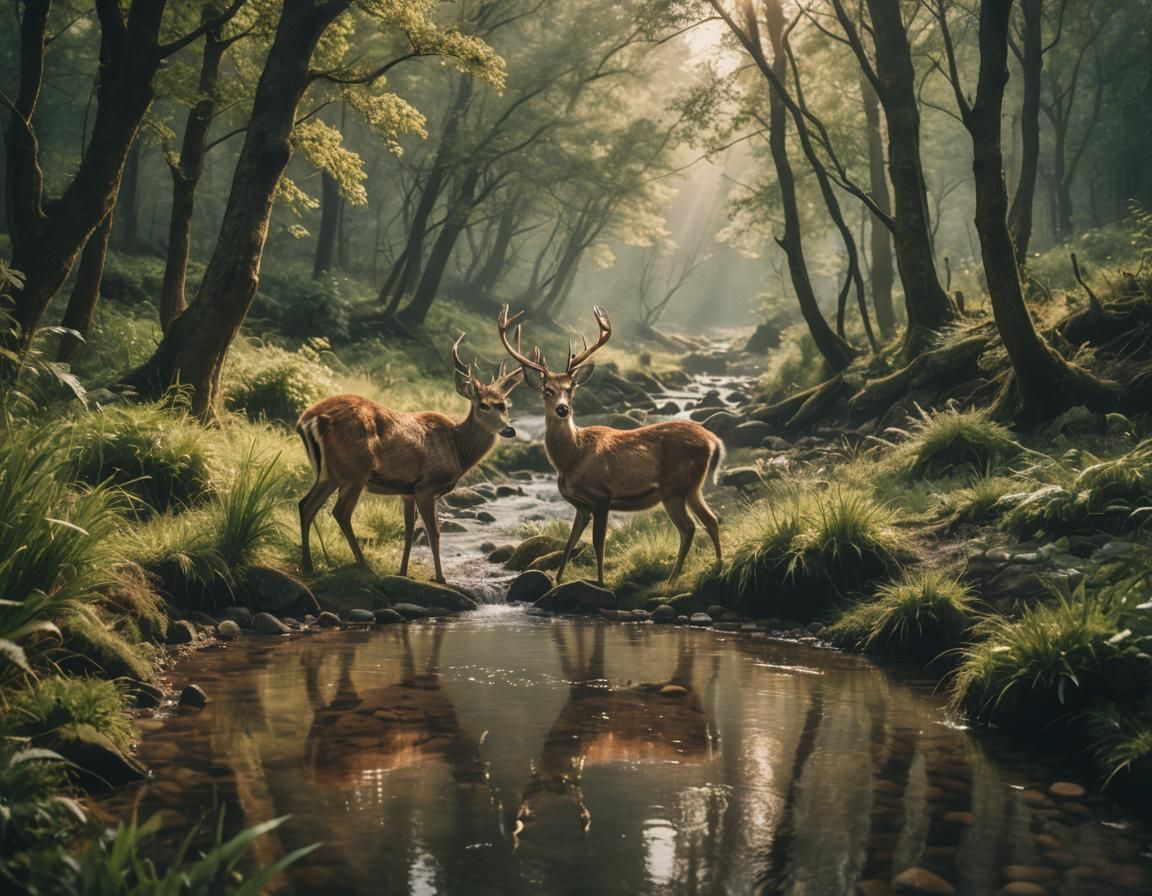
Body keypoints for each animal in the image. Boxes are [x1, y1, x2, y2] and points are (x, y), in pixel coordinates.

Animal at [296, 334, 523, 582]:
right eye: (484, 405)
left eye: (505, 405)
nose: (509, 429)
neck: (457, 450)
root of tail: (308, 421)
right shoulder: (427, 485)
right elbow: (434, 533)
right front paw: (440, 577)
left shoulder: (407, 491)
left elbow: (409, 532)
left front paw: (402, 572)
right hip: (355, 471)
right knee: (340, 512)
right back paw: (363, 564)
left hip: (329, 474)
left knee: (305, 505)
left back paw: (308, 566)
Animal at [496, 304, 723, 586]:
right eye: (547, 390)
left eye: (571, 388)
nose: (562, 409)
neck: (571, 459)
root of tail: (712, 440)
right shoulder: (581, 505)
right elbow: (569, 542)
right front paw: (558, 579)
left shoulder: (601, 496)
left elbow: (598, 543)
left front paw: (601, 582)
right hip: (691, 487)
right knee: (711, 521)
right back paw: (717, 566)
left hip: (675, 487)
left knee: (689, 527)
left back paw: (673, 579)